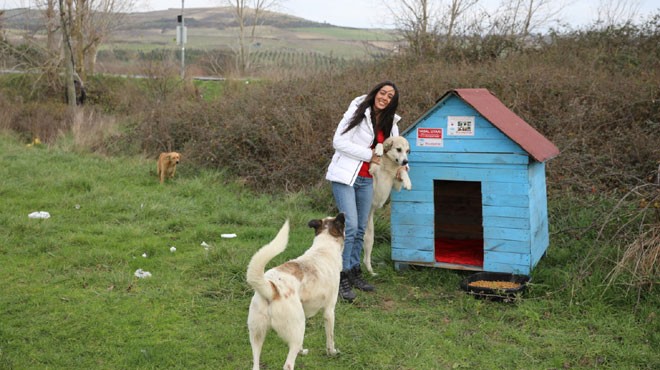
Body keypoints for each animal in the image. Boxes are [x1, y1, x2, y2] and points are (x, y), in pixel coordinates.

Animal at [245, 212, 342, 368]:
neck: (323, 248)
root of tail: (271, 289)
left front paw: (302, 351)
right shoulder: (329, 311)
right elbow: (330, 338)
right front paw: (332, 352)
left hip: (257, 335)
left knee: (256, 364)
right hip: (296, 329)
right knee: (288, 364)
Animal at [360, 136, 412, 274]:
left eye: (407, 151)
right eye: (398, 149)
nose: (405, 162)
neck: (390, 164)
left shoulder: (397, 184)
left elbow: (402, 173)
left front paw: (408, 181)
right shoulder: (373, 171)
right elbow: (378, 146)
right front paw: (378, 150)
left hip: (370, 238)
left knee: (365, 259)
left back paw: (371, 272)